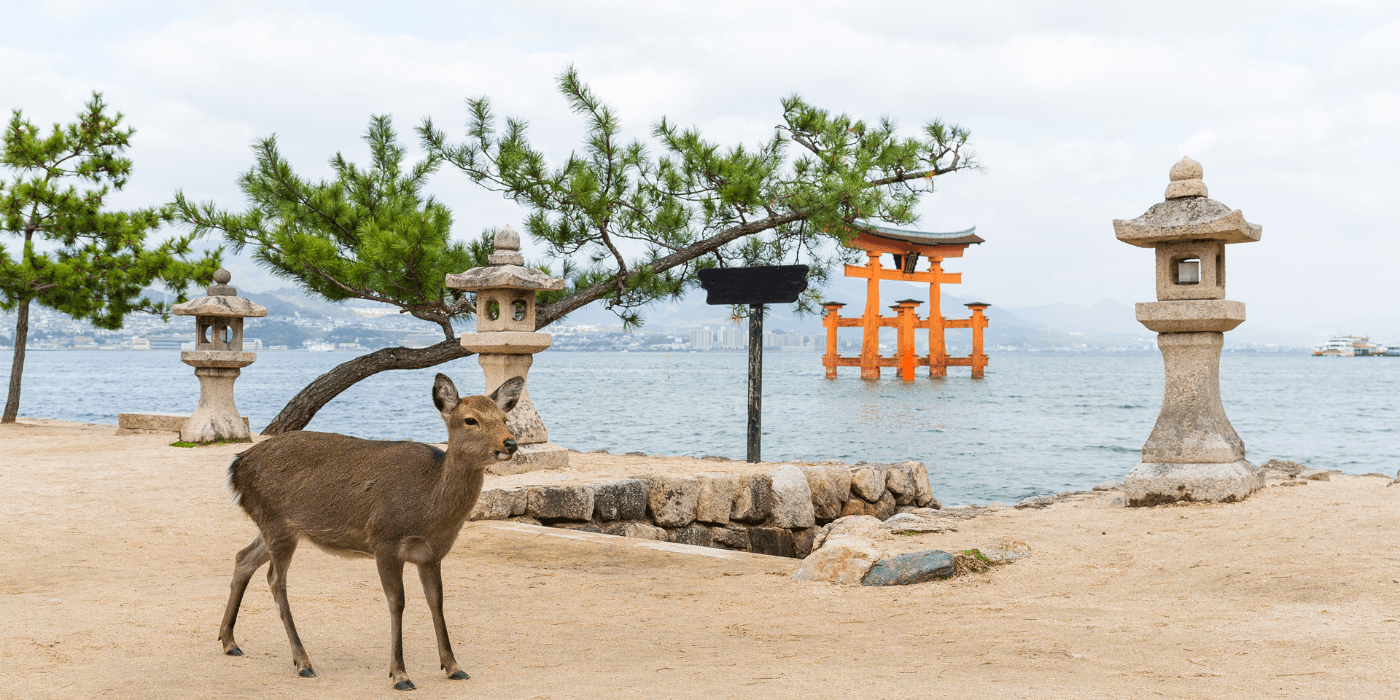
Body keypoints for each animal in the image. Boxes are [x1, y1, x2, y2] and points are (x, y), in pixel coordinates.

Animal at [215, 372, 523, 688]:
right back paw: (303, 661)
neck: (429, 507)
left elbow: (436, 601)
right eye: (470, 420)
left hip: (277, 525)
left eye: (504, 418)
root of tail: (236, 466)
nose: (510, 443)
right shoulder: (385, 540)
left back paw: (230, 641)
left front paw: (453, 667)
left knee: (243, 558)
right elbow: (396, 602)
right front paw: (399, 674)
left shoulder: (431, 553)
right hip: (277, 523)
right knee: (276, 581)